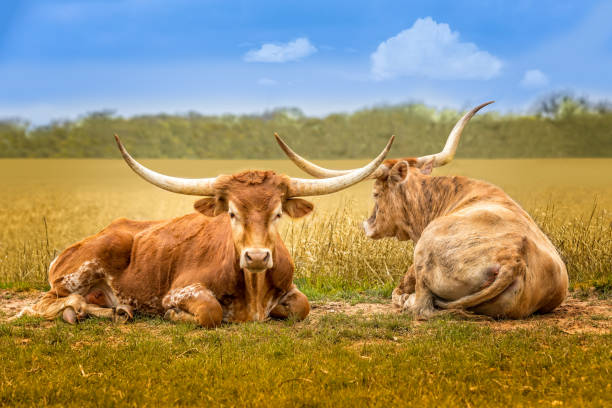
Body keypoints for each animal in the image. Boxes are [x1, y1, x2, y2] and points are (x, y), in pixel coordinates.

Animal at [16, 135, 394, 326]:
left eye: (277, 214)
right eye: (231, 213)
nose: (257, 256)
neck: (252, 290)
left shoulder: (291, 290)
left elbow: (302, 307)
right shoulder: (180, 290)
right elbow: (209, 312)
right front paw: (174, 315)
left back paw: (118, 311)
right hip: (78, 272)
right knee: (44, 303)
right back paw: (80, 311)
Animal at [274, 102, 572, 318]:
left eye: (375, 193)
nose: (367, 225)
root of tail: (513, 258)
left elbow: (398, 292)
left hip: (424, 256)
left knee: (421, 307)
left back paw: (409, 301)